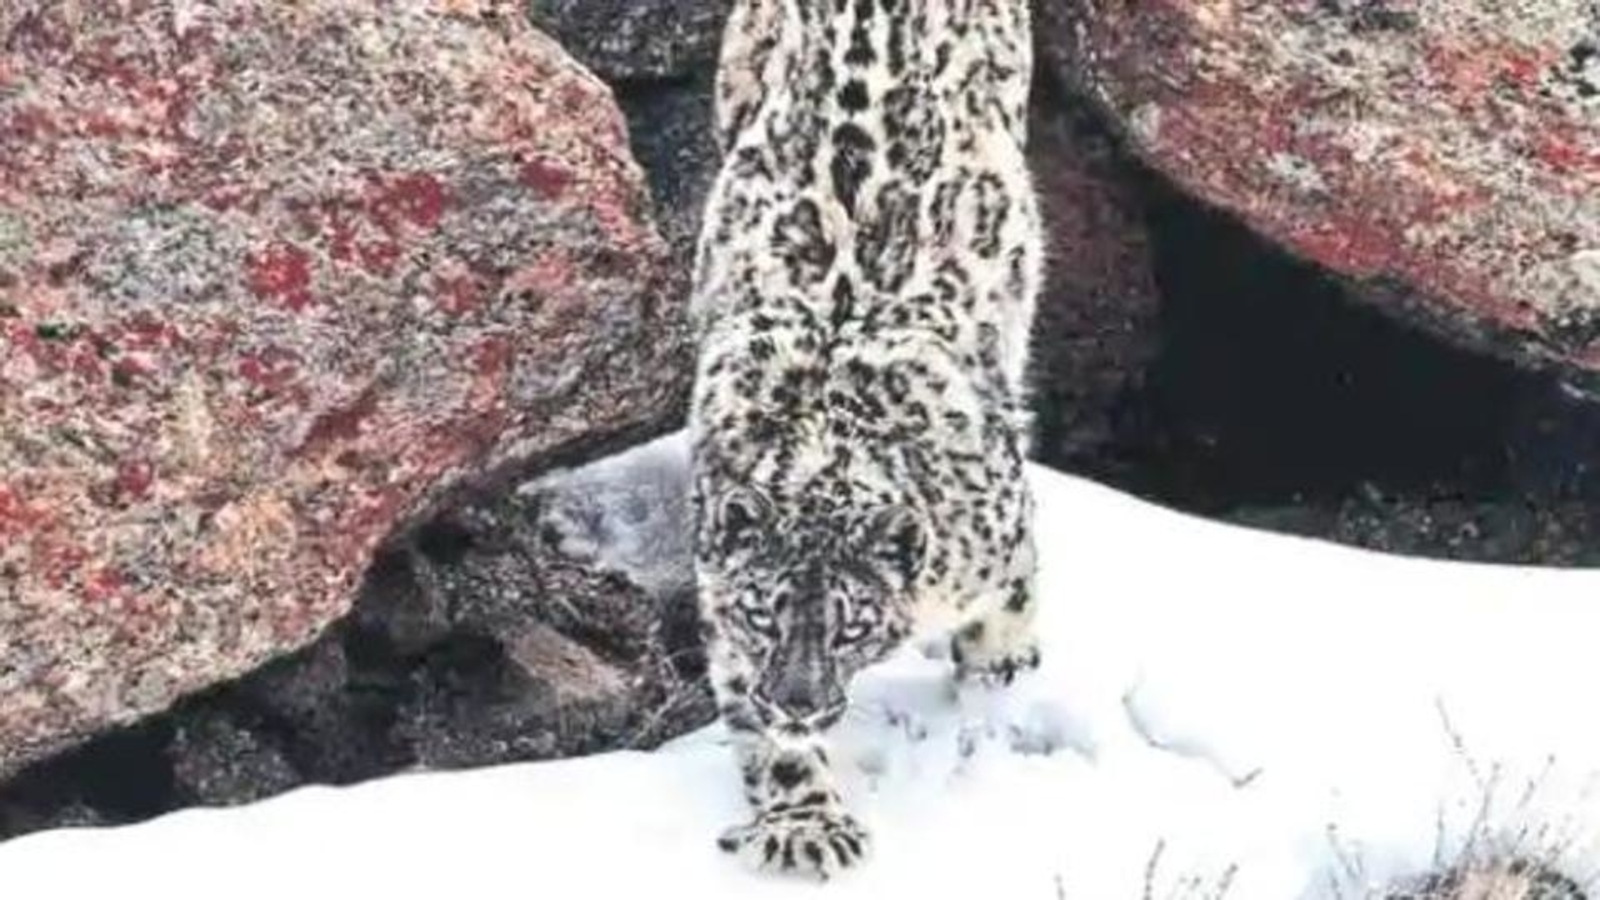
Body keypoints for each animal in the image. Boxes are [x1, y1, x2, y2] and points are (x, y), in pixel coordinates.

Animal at [688, 0, 1043, 879]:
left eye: (851, 621)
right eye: (762, 611)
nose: (798, 701)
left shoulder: (1000, 518)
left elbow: (1015, 583)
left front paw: (999, 664)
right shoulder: (716, 592)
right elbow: (760, 730)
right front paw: (806, 824)